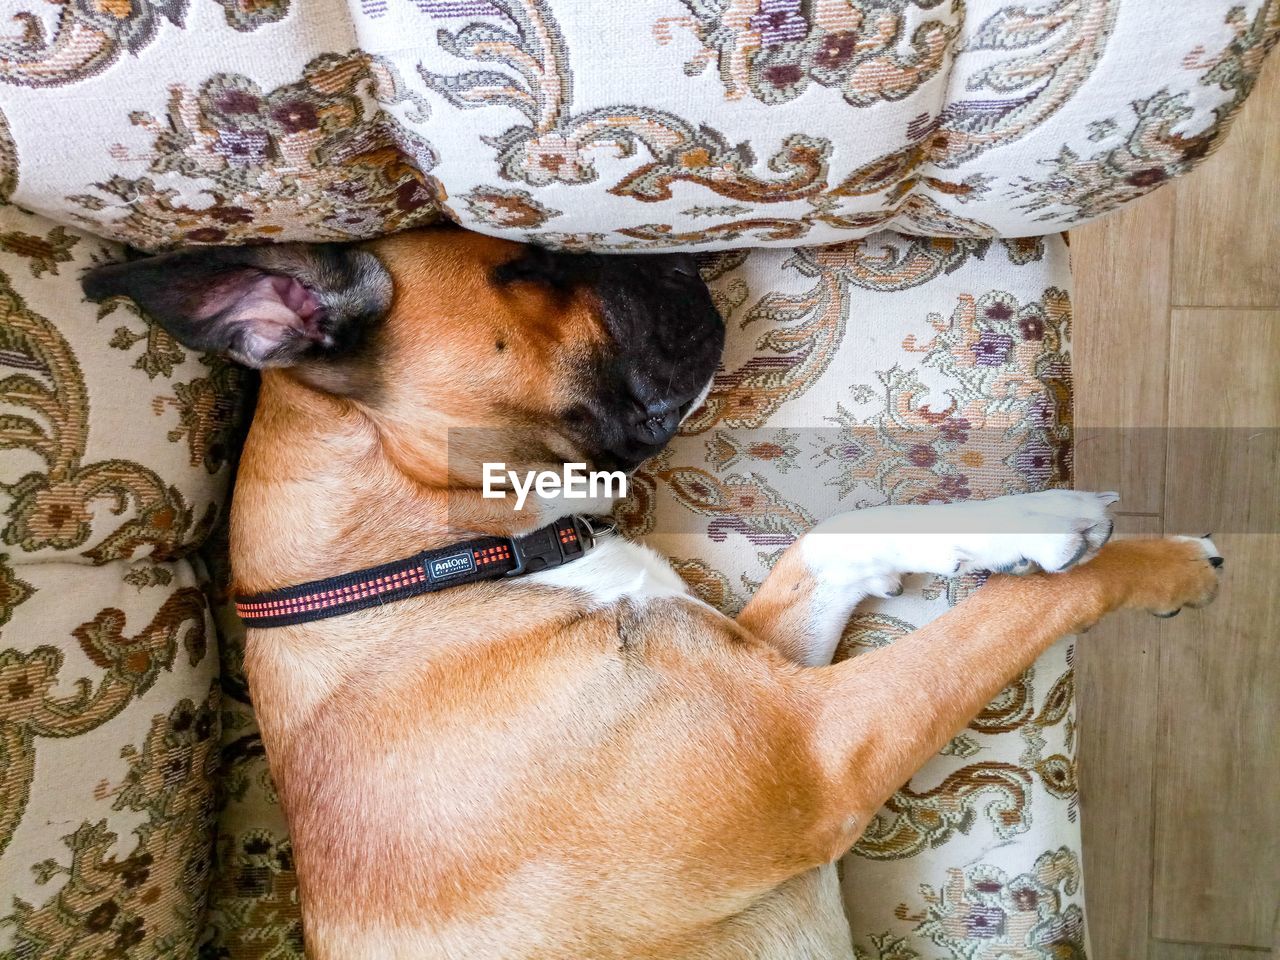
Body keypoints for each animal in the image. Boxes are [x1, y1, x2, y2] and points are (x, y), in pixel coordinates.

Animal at [85, 229, 1223, 957]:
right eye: (524, 269)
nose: (683, 260)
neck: (415, 568)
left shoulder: (767, 675)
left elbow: (837, 538)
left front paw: (1021, 519)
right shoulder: (816, 753)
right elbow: (1012, 611)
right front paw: (1152, 558)